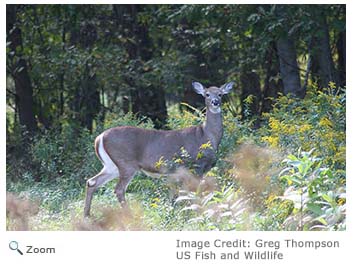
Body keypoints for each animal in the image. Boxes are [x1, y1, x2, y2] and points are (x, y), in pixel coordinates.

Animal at [83, 81, 232, 216]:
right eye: (207, 94)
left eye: (220, 94)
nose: (215, 102)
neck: (206, 135)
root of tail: (99, 138)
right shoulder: (197, 165)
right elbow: (195, 192)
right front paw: (198, 212)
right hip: (126, 163)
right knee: (118, 189)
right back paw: (129, 216)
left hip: (111, 166)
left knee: (92, 181)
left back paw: (86, 215)